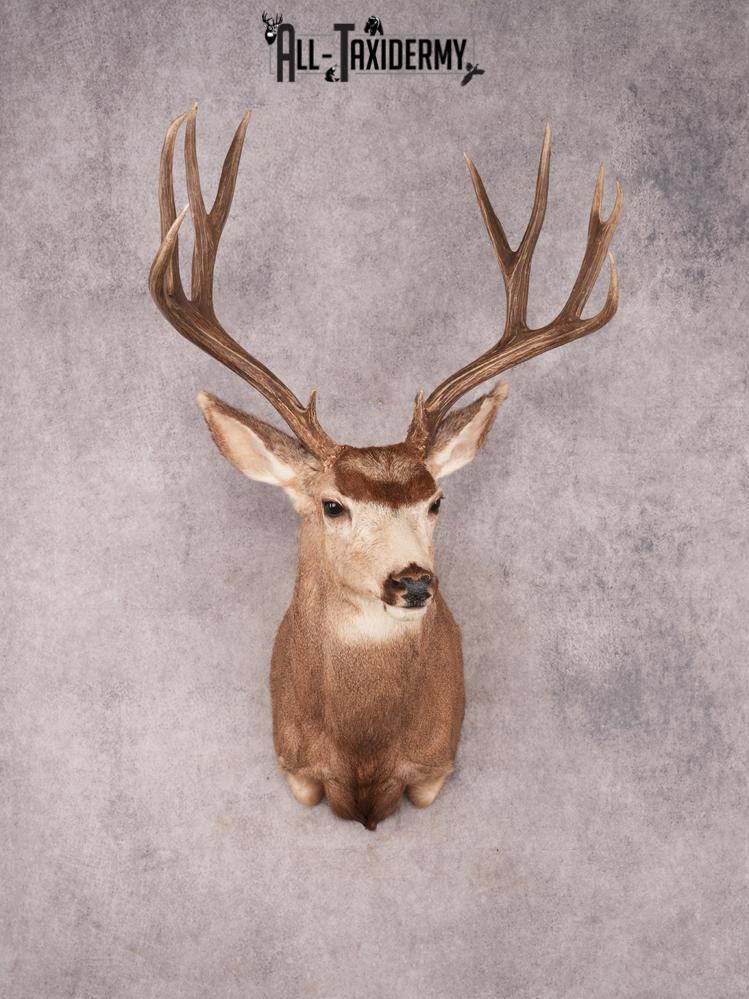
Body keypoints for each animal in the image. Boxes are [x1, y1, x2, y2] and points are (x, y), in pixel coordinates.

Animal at [149, 107, 622, 830]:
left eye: (436, 501)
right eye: (332, 504)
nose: (414, 581)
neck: (364, 757)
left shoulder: (434, 767)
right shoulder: (293, 764)